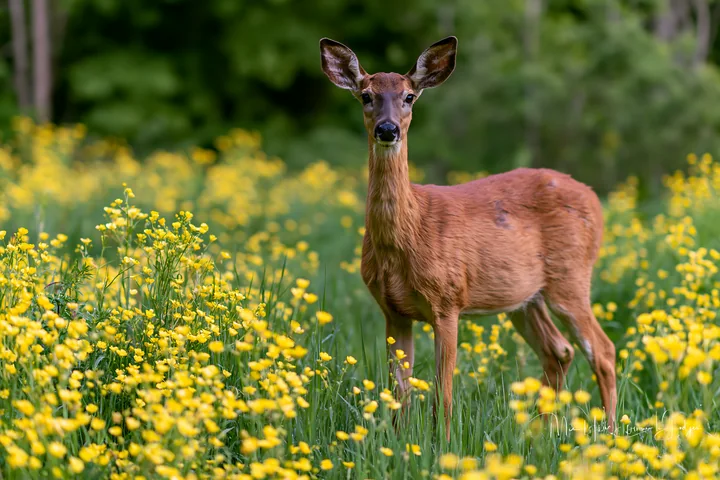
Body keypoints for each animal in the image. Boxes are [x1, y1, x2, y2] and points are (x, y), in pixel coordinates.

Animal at [319, 36, 616, 441]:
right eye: (366, 95)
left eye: (409, 96)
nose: (388, 129)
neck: (408, 236)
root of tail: (594, 199)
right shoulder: (392, 309)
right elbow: (399, 393)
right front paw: (399, 443)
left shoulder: (448, 301)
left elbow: (442, 393)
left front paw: (442, 445)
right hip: (526, 298)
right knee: (559, 351)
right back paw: (538, 435)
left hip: (570, 277)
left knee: (602, 350)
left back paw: (613, 434)